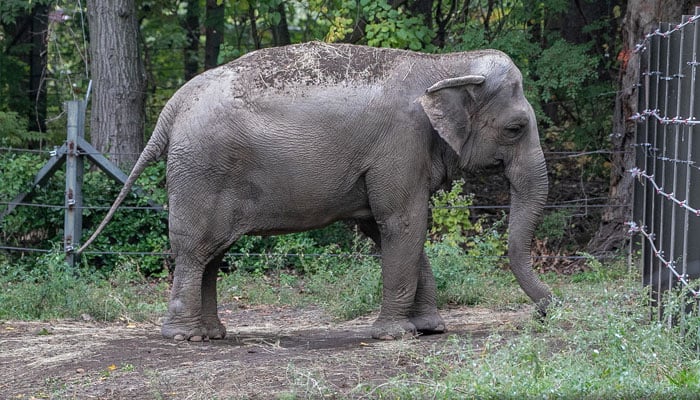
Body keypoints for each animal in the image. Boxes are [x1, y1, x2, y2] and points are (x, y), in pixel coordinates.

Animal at [79, 40, 552, 340]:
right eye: (515, 128)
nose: (548, 308)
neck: (445, 65)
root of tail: (174, 105)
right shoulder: (400, 144)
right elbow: (404, 222)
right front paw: (396, 335)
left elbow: (390, 228)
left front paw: (430, 329)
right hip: (201, 170)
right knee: (196, 249)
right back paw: (184, 338)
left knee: (213, 253)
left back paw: (212, 334)